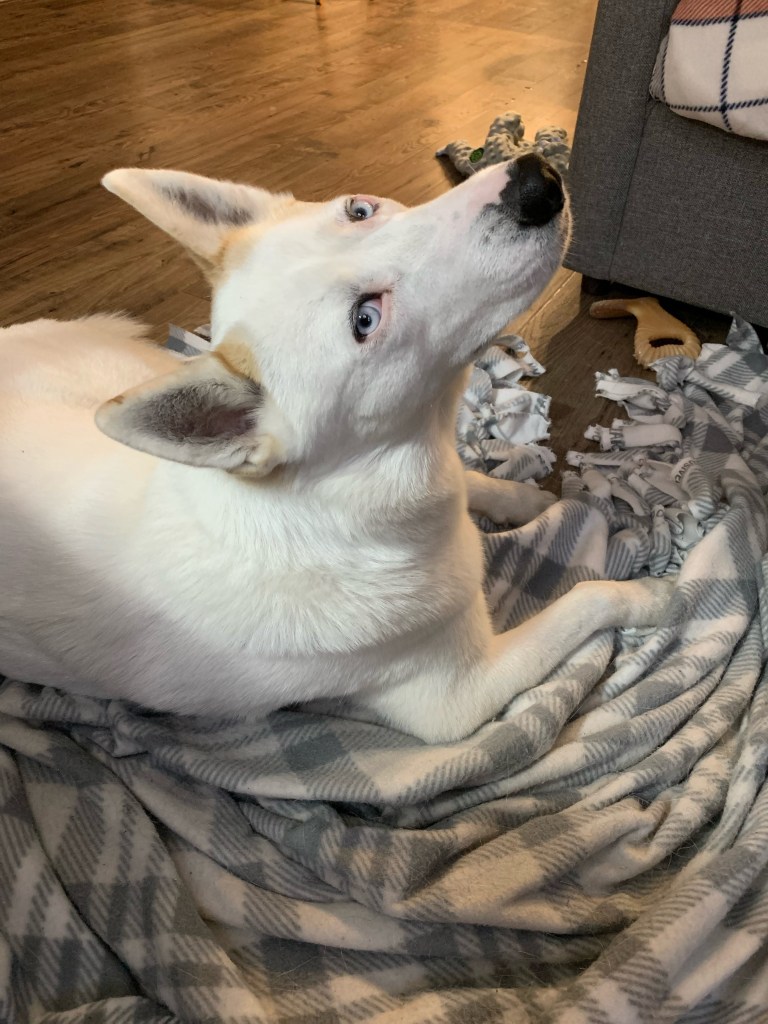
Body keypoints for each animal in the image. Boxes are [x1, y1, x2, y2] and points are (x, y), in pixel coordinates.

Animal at [0, 155, 671, 741]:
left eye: (359, 209)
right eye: (365, 320)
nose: (536, 181)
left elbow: (478, 481)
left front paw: (524, 501)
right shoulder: (457, 695)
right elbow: (583, 602)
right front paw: (648, 597)